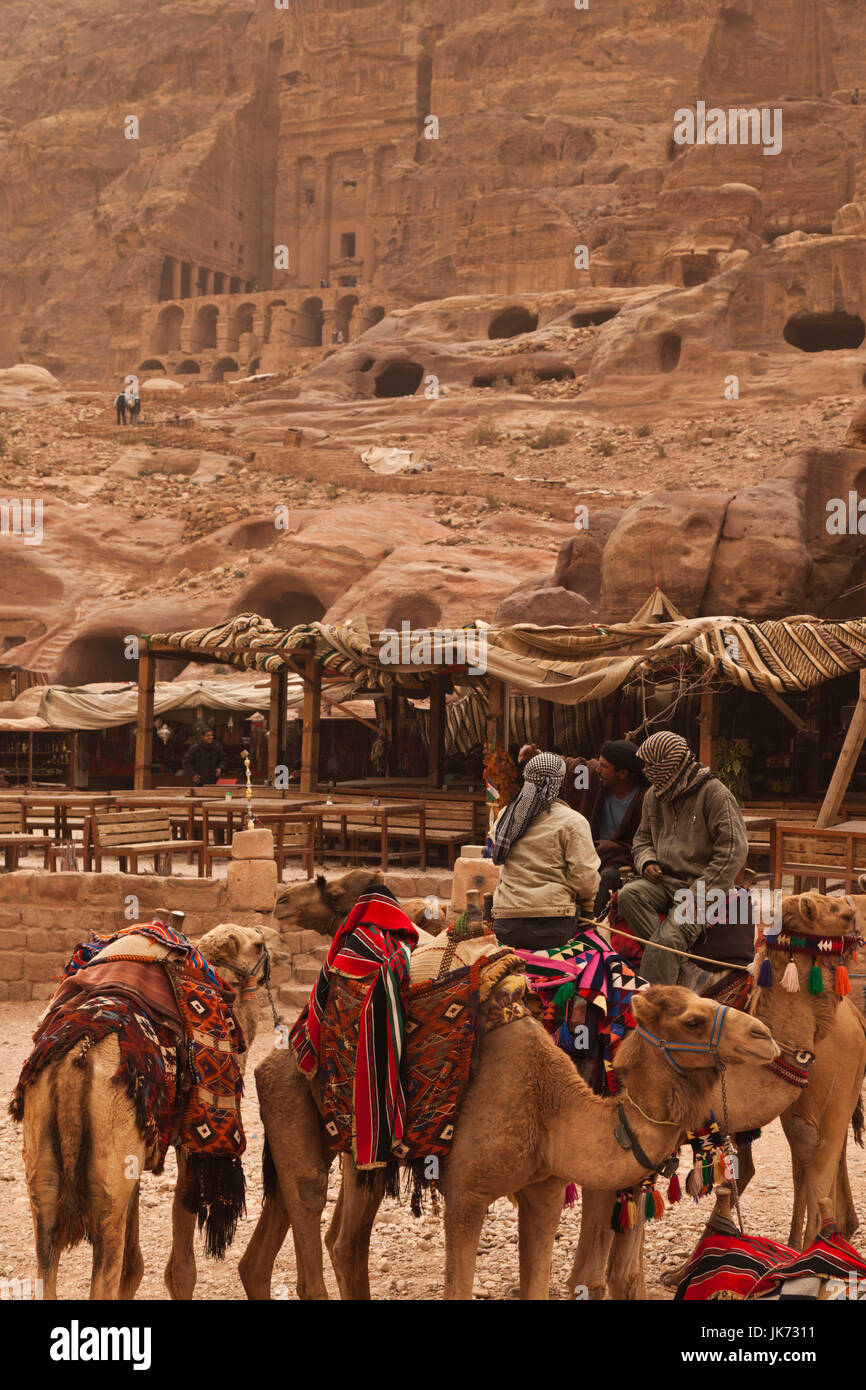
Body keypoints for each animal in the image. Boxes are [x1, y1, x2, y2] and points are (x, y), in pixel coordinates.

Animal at [19, 922, 287, 1301]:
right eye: (259, 943)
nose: (281, 941)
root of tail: (76, 1060)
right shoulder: (191, 1140)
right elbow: (180, 1270)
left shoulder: (138, 1149)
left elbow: (132, 1267)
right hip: (104, 1179)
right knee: (103, 1265)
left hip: (45, 1158)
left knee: (47, 1251)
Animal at [239, 984, 778, 1295]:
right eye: (692, 1020)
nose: (764, 1036)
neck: (550, 1107)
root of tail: (279, 1047)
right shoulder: (467, 1193)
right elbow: (458, 1287)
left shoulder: (543, 1190)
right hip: (292, 1105)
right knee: (309, 1214)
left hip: (361, 1151)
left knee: (322, 1244)